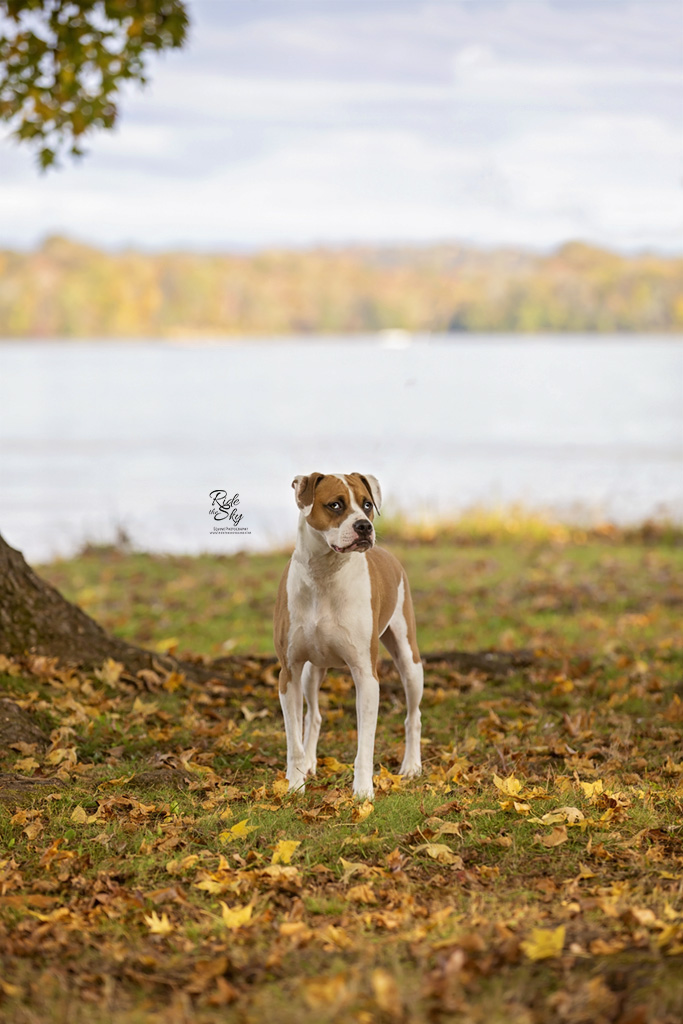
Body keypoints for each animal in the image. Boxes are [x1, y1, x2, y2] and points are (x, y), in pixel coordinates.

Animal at [272, 471, 421, 798]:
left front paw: (363, 791)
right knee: (313, 716)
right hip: (311, 671)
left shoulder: (366, 675)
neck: (324, 574)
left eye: (366, 504)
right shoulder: (289, 673)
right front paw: (295, 784)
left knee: (413, 716)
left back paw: (412, 766)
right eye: (336, 505)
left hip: (410, 660)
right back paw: (310, 763)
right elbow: (293, 740)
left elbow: (365, 743)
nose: (365, 526)